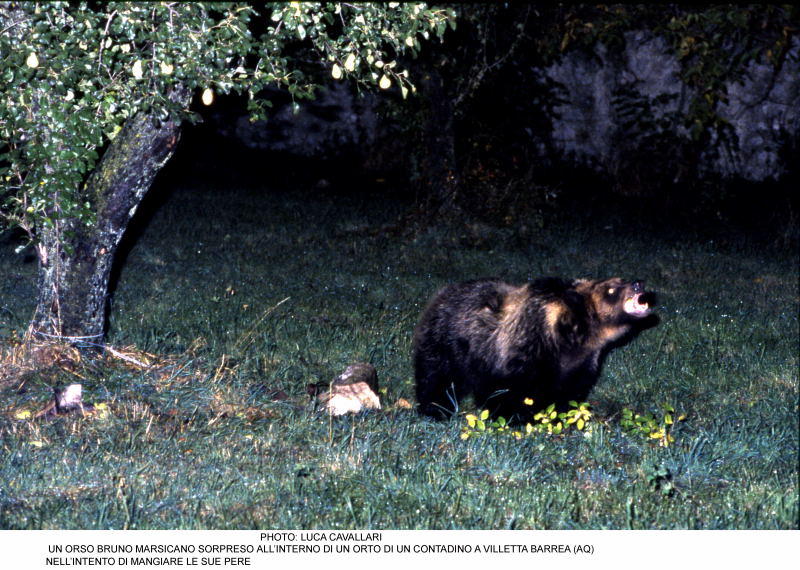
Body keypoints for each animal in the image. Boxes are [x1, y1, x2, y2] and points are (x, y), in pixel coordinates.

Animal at [412, 278, 656, 420]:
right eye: (611, 290)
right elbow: (504, 393)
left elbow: (568, 393)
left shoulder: (580, 364)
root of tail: (442, 294)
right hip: (445, 342)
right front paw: (512, 417)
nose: (638, 283)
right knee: (436, 378)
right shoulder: (520, 354)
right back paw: (436, 408)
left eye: (620, 279)